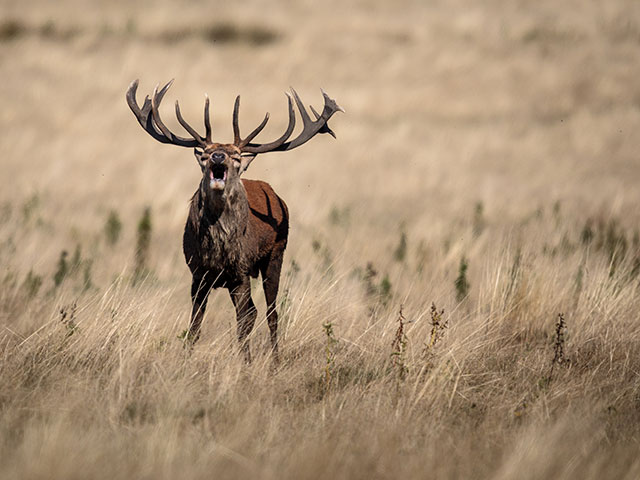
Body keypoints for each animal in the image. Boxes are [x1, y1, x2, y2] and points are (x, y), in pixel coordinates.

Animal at [126, 79, 344, 364]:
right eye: (205, 154)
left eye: (237, 156)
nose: (218, 156)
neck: (218, 248)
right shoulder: (198, 272)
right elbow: (195, 326)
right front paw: (187, 360)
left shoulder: (240, 270)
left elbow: (243, 321)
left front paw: (246, 364)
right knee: (254, 312)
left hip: (275, 255)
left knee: (270, 312)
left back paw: (274, 361)